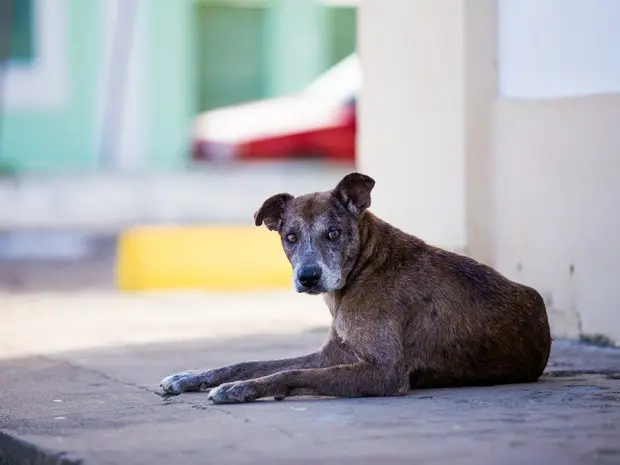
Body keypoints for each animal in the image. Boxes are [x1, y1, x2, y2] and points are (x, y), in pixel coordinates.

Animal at [161, 172, 552, 404]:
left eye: (333, 233)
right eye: (290, 237)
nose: (308, 276)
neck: (367, 267)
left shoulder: (384, 372)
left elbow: (291, 373)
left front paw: (242, 389)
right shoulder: (335, 354)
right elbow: (250, 363)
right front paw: (191, 377)